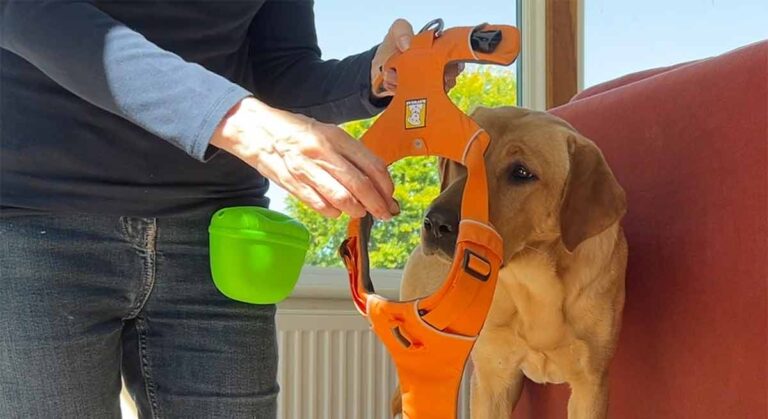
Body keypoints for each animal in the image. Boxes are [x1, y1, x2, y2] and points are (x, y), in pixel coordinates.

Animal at [392, 106, 628, 418]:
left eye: (521, 172)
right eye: (463, 162)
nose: (435, 223)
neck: (534, 283)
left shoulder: (590, 384)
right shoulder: (493, 377)